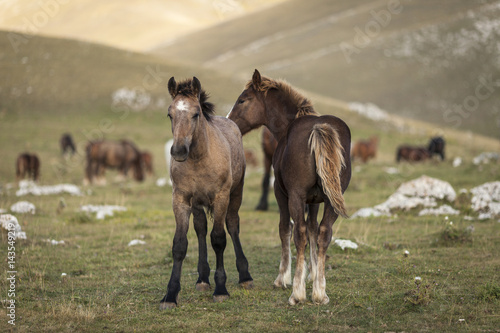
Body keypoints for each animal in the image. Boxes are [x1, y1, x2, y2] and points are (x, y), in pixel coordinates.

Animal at [160, 76, 254, 308]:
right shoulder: (181, 200)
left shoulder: (221, 198)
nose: (178, 151)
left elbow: (218, 239)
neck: (199, 158)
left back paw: (245, 276)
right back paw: (202, 278)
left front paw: (221, 290)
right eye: (170, 114)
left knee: (232, 225)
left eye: (196, 113)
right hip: (197, 204)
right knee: (201, 229)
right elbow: (179, 244)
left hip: (235, 194)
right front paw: (170, 295)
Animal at [228, 69, 352, 304]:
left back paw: (297, 293)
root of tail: (318, 128)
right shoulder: (315, 200)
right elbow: (313, 230)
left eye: (242, 100)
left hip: (295, 196)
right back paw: (320, 293)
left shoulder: (281, 192)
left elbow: (285, 228)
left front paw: (283, 277)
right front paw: (313, 273)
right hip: (332, 199)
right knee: (324, 232)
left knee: (299, 232)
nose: (229, 123)